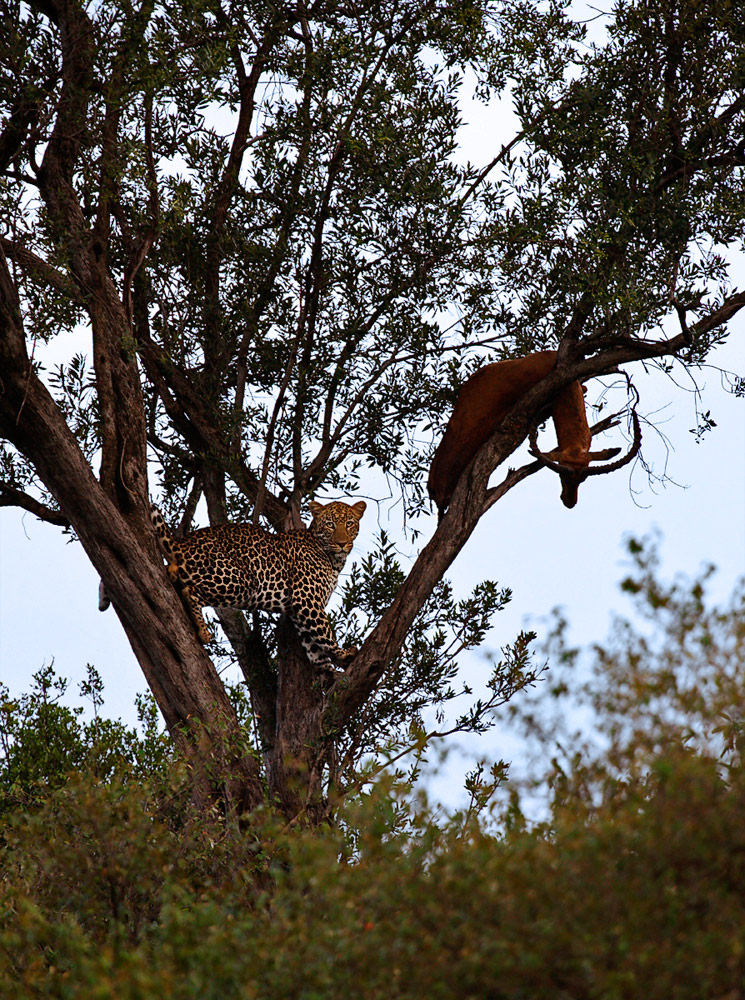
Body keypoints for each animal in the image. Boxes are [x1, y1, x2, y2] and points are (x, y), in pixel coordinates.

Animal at [149, 498, 366, 668]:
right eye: (330, 525)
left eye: (349, 524)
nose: (341, 543)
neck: (334, 560)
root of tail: (181, 543)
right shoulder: (307, 600)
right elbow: (326, 634)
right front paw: (343, 654)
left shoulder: (300, 611)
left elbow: (315, 647)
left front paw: (329, 675)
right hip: (240, 581)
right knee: (191, 590)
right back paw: (203, 631)